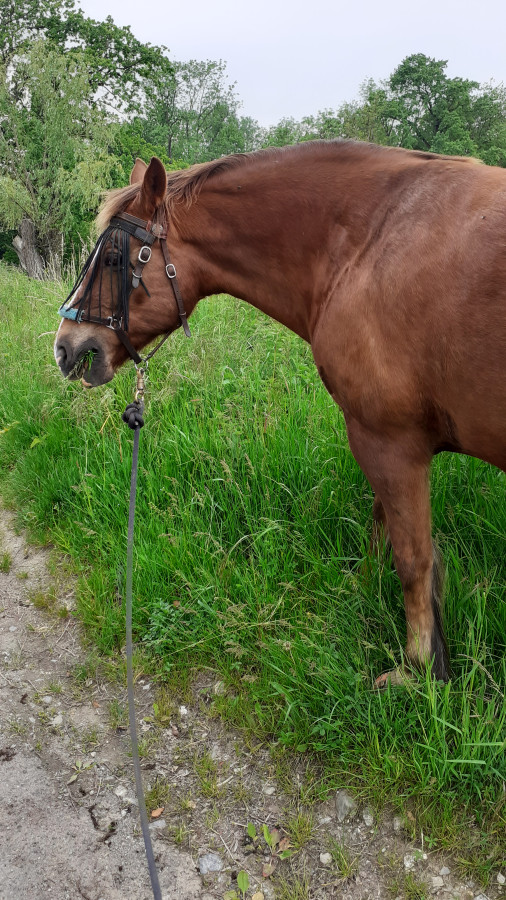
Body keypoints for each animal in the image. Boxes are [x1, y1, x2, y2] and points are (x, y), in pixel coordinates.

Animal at [54, 141, 506, 687]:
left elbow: (413, 558)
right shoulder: (386, 444)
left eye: (116, 257)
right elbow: (385, 530)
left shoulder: (390, 442)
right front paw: (365, 590)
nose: (64, 348)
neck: (369, 244)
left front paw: (419, 667)